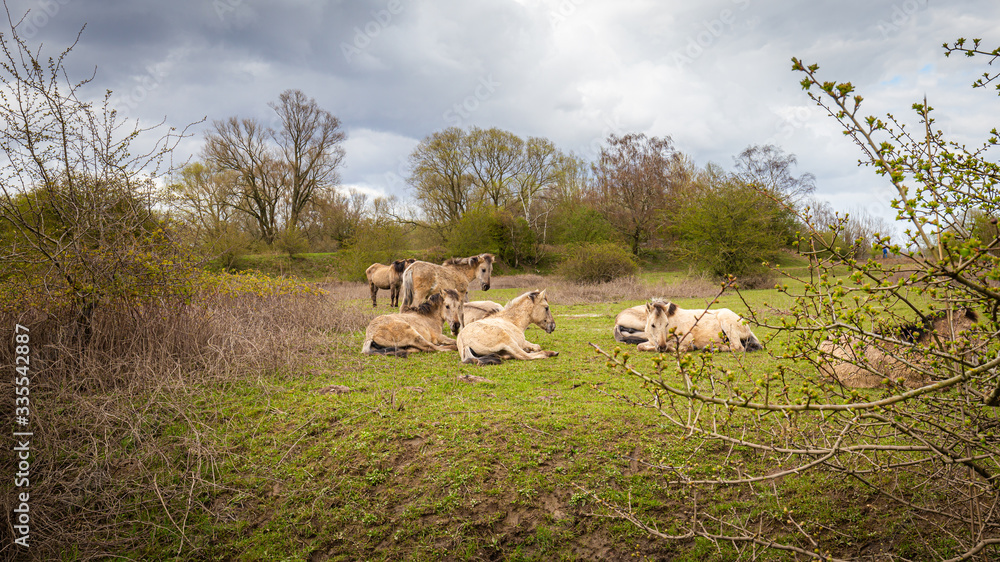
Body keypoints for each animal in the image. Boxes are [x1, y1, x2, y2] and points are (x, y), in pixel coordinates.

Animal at [614, 299, 762, 353]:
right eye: (653, 325)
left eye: (666, 324)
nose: (662, 347)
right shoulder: (652, 341)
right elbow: (640, 346)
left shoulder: (686, 338)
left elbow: (678, 346)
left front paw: (688, 347)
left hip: (726, 322)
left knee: (737, 347)